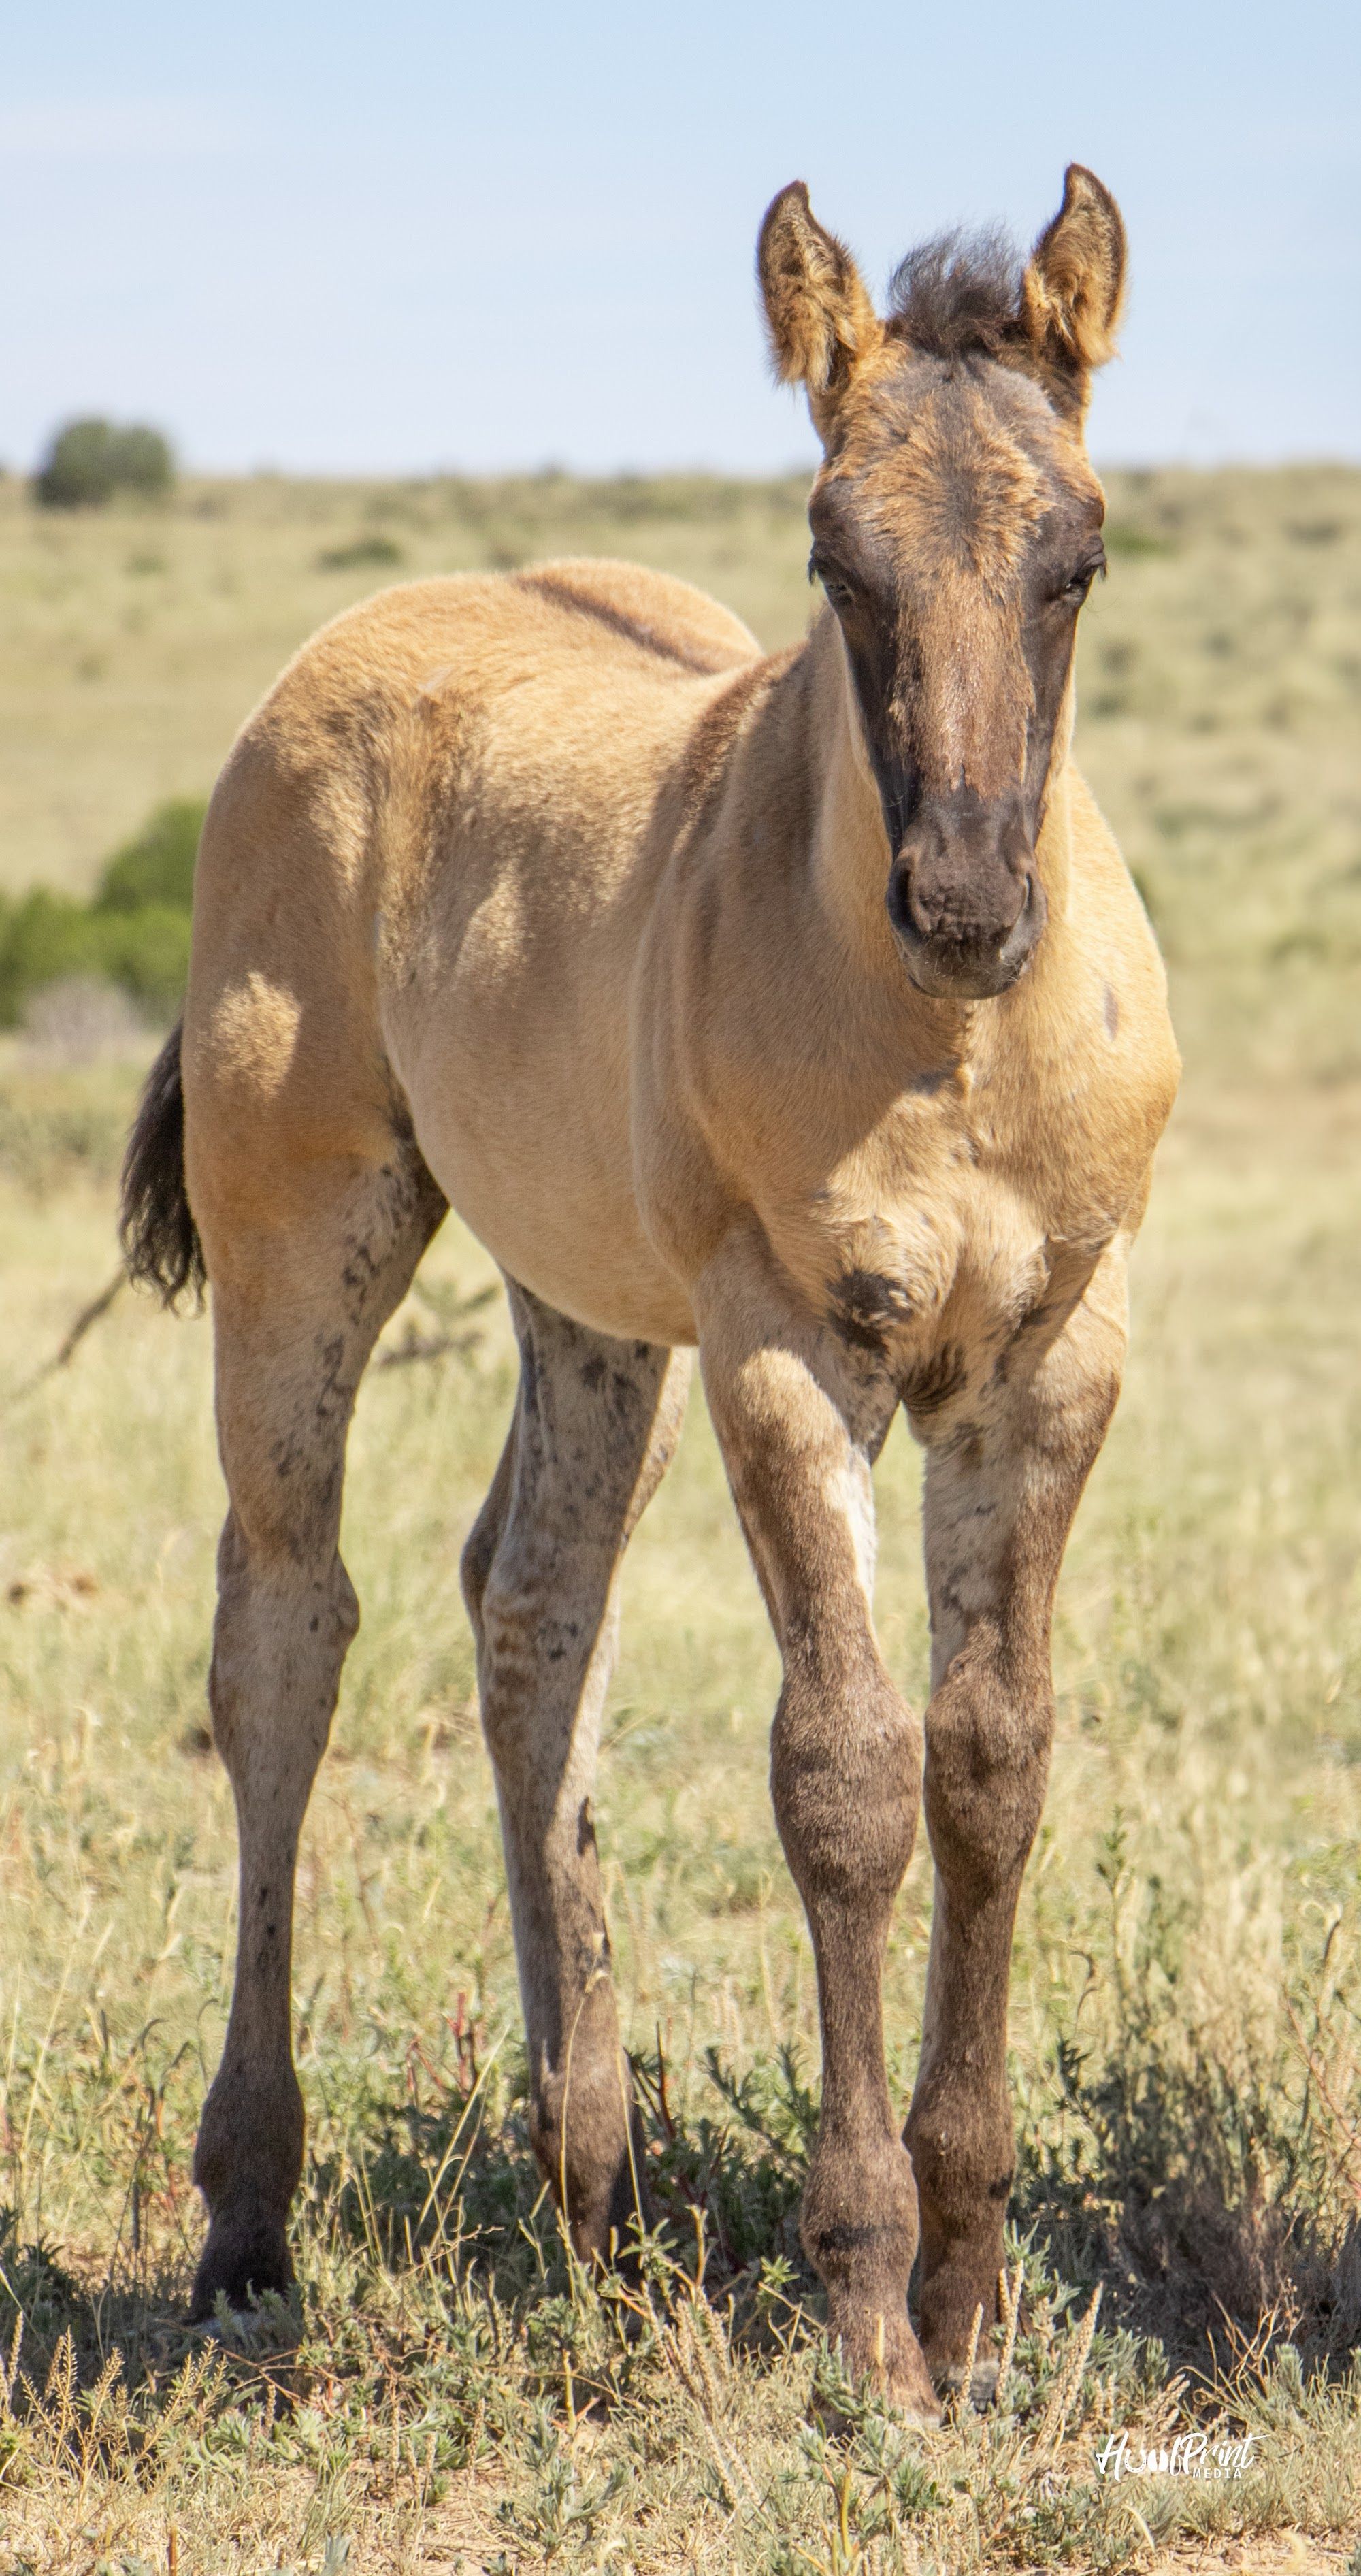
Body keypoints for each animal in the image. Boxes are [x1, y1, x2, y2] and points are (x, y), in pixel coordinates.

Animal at [121, 164, 1179, 2414]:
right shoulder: (790, 1346)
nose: (968, 900)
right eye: (834, 558)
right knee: (287, 1629)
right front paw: (866, 2298)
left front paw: (974, 2287)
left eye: (1077, 556)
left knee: (533, 1611)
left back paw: (599, 2195)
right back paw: (250, 2217)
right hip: (304, 1233)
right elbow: (845, 1773)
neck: (947, 1044)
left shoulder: (1051, 1358)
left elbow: (993, 1759)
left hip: (590, 1302)